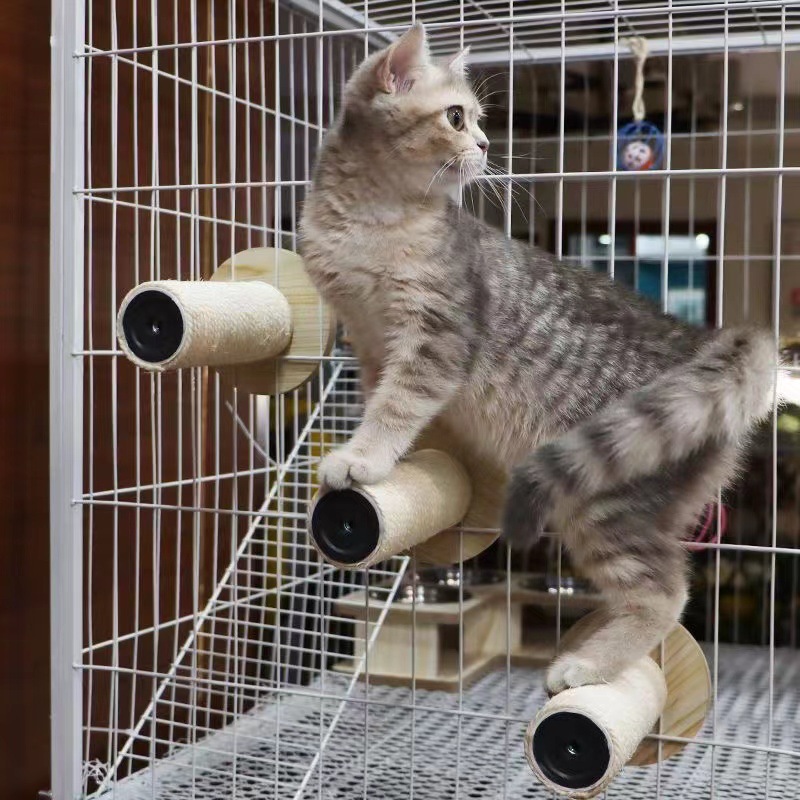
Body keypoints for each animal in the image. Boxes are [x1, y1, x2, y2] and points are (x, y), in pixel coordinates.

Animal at [298, 22, 777, 692]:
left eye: (475, 119)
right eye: (457, 117)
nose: (484, 144)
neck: (377, 216)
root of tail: (698, 343)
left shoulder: (436, 338)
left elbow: (396, 406)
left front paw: (363, 458)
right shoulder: (369, 343)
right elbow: (385, 402)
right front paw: (399, 457)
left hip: (604, 505)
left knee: (665, 594)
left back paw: (588, 666)